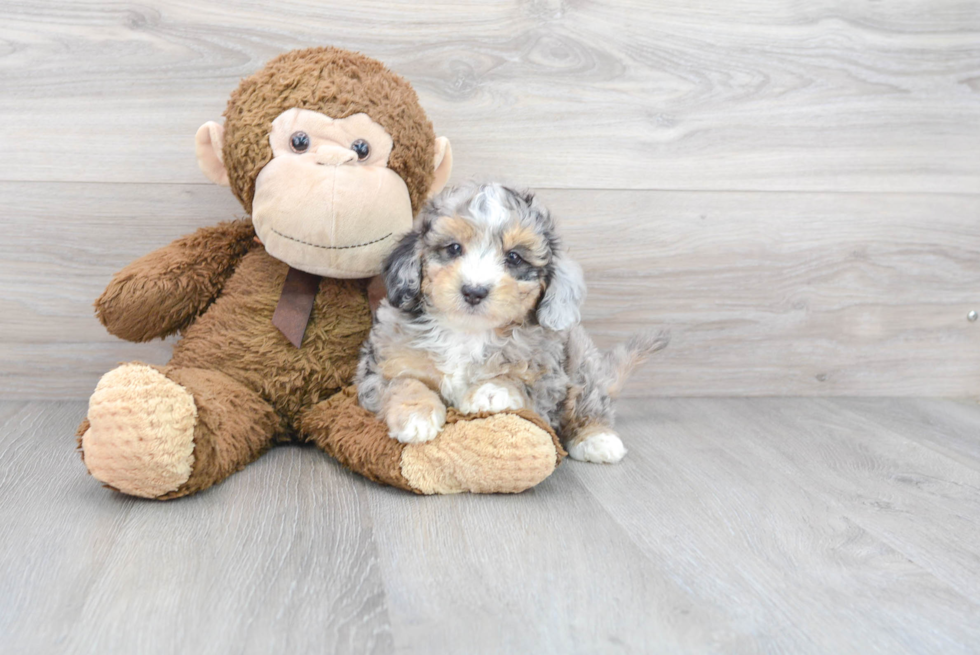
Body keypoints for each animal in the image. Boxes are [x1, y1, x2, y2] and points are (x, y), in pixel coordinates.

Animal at [356, 182, 668, 464]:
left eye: (514, 257)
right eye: (454, 248)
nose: (474, 291)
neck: (468, 331)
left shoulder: (548, 378)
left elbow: (518, 379)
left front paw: (491, 391)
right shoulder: (381, 365)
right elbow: (403, 383)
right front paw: (415, 416)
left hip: (582, 364)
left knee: (589, 403)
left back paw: (598, 439)